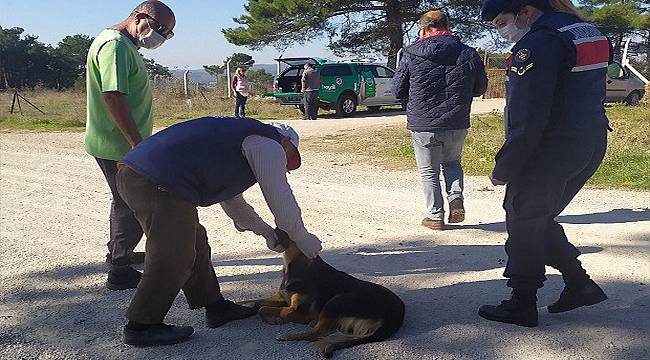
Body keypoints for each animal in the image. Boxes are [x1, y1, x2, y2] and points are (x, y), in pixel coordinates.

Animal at [235, 229, 402, 358]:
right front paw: (249, 307)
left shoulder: (297, 312)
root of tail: (394, 316)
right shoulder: (281, 297)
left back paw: (288, 336)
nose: (276, 226)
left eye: (293, 232)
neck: (295, 265)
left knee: (316, 333)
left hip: (336, 301)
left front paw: (273, 319)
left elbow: (266, 308)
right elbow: (258, 304)